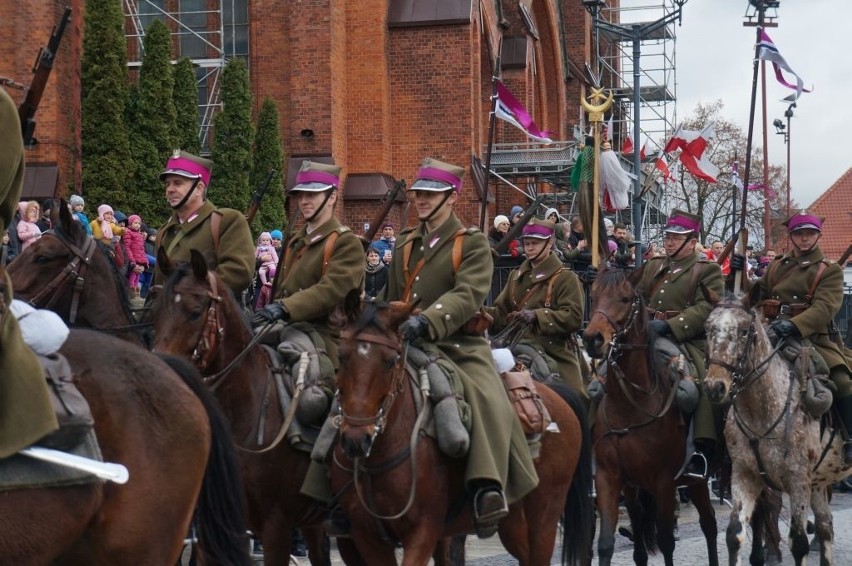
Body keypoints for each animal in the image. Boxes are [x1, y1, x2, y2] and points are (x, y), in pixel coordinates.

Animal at [326, 298, 592, 566]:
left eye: (391, 361)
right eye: (342, 356)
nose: (356, 440)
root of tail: (555, 394)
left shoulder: (424, 530)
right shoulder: (366, 537)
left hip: (544, 516)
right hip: (513, 521)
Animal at [584, 270, 716, 566]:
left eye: (625, 298)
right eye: (593, 295)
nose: (592, 339)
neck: (629, 407)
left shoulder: (664, 482)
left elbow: (666, 542)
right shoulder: (609, 478)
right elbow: (606, 543)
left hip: (697, 481)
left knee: (710, 526)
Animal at [704, 292, 848, 566]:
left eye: (744, 331)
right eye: (708, 329)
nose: (715, 386)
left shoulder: (798, 480)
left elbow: (799, 543)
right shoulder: (744, 474)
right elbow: (734, 534)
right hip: (820, 480)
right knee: (825, 526)